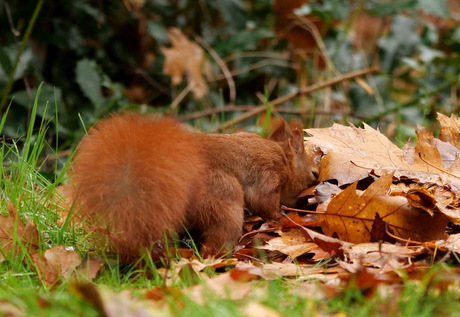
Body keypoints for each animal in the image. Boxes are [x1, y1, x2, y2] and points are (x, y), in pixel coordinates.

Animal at [70, 115, 318, 258]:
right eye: (314, 175)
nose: (305, 199)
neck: (282, 158)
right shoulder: (269, 175)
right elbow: (263, 202)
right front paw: (280, 213)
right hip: (223, 195)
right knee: (218, 238)